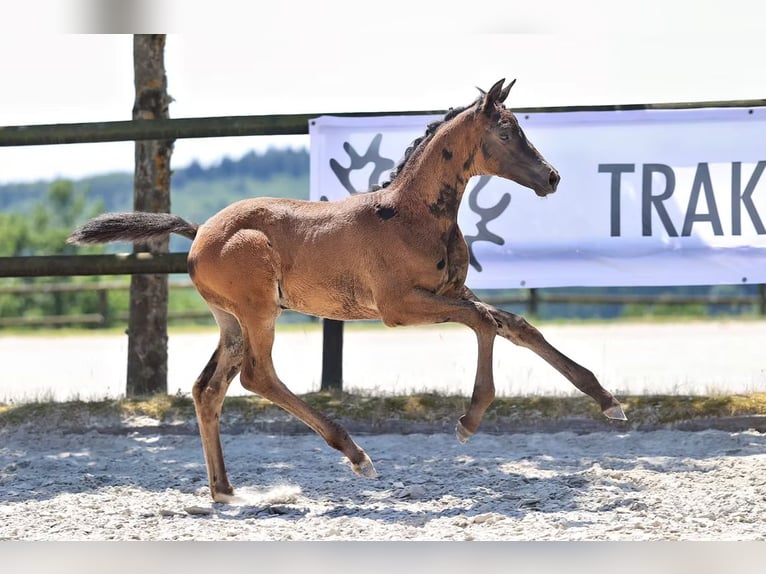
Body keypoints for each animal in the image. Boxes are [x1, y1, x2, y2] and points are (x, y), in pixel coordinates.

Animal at [69, 79, 626, 502]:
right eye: (507, 131)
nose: (552, 177)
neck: (412, 214)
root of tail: (201, 229)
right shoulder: (400, 307)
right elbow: (485, 323)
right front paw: (469, 419)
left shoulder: (454, 290)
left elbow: (516, 325)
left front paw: (608, 401)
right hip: (259, 307)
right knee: (256, 375)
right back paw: (356, 455)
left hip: (231, 319)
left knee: (209, 388)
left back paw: (224, 490)